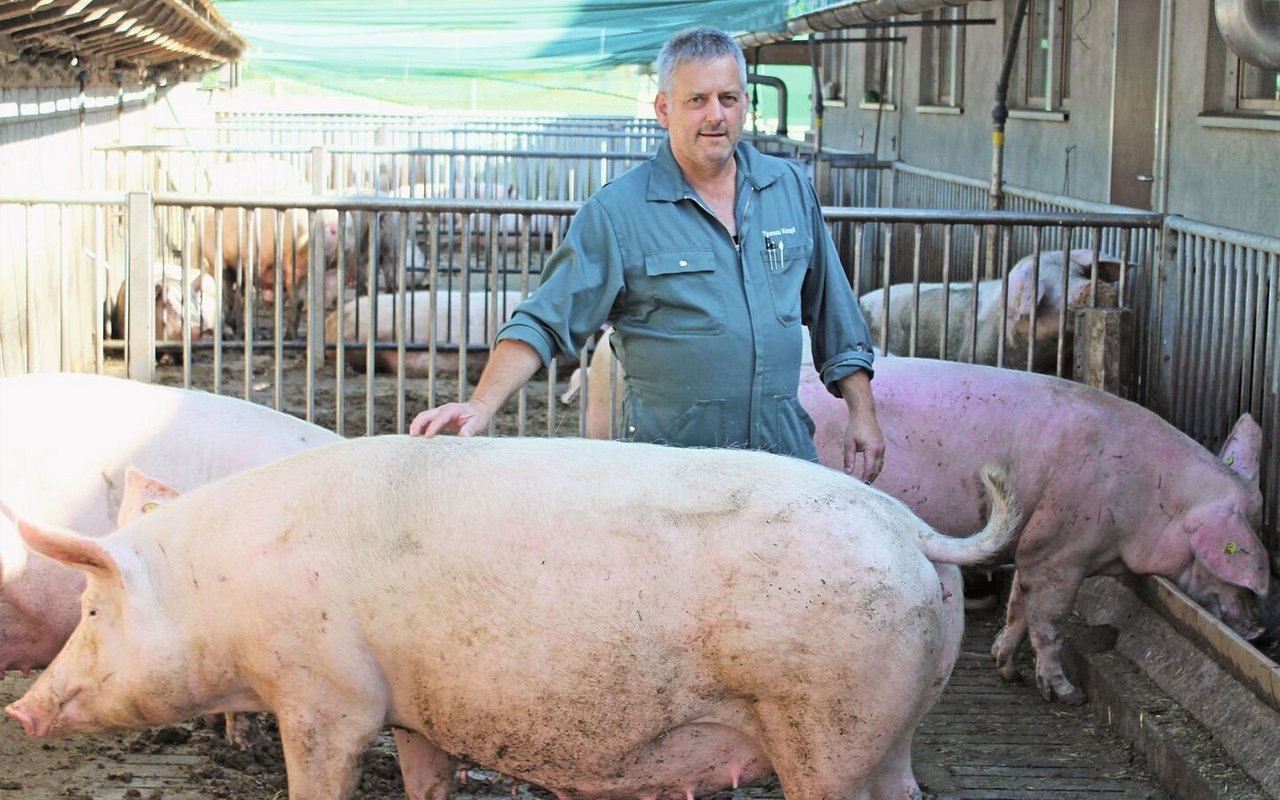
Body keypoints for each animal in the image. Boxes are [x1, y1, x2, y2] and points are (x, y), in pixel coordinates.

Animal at [5, 432, 1013, 798]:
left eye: (91, 607)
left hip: (825, 724)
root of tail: (915, 527)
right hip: (888, 732)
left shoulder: (326, 698)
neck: (222, 592)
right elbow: (425, 777)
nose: (19, 708)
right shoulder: (412, 707)